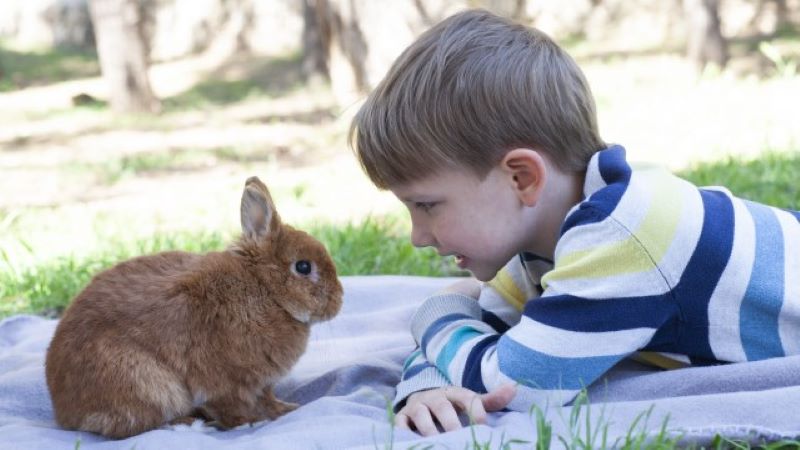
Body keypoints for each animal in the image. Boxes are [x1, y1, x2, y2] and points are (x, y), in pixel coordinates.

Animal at [44, 177, 344, 440]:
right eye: (303, 267)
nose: (339, 301)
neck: (264, 289)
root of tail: (65, 413)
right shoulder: (224, 382)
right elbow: (232, 408)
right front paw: (250, 423)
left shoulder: (261, 384)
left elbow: (267, 399)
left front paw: (285, 409)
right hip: (147, 383)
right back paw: (192, 426)